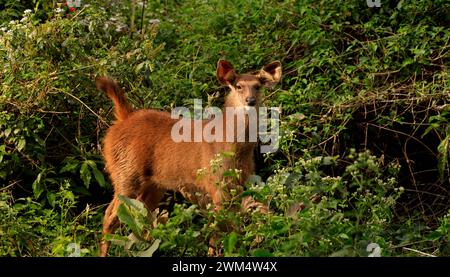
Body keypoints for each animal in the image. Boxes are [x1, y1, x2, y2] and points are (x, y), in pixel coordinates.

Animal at [96, 59, 282, 256]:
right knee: (110, 215)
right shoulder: (215, 183)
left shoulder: (242, 183)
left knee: (142, 215)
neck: (232, 150)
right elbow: (221, 229)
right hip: (125, 171)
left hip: (154, 184)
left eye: (258, 86)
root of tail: (124, 118)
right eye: (238, 86)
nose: (250, 100)